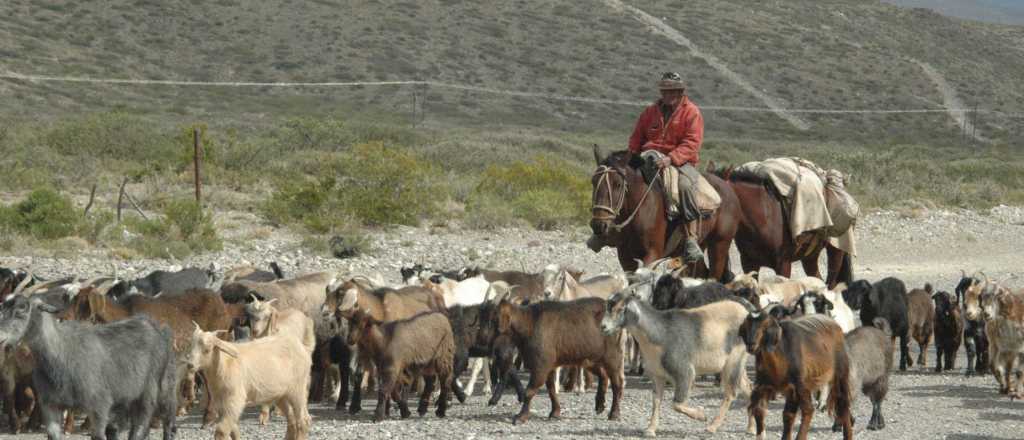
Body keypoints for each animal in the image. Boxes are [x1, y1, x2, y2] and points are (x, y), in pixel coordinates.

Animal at [0, 294, 177, 440]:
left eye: (21, 311)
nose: (1, 337)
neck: (61, 353)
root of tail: (151, 323)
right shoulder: (50, 405)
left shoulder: (99, 404)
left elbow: (98, 436)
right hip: (126, 395)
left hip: (155, 387)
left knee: (156, 421)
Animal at [593, 146, 737, 280]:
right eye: (593, 181)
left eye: (617, 184)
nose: (599, 224)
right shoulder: (625, 257)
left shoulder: (652, 255)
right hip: (702, 246)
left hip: (719, 245)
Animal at [598, 292, 753, 435]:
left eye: (620, 308)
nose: (603, 327)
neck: (661, 335)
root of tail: (745, 311)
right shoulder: (657, 375)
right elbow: (656, 401)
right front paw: (650, 429)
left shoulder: (684, 372)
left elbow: (676, 404)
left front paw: (701, 416)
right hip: (739, 361)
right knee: (748, 388)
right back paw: (751, 429)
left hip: (733, 360)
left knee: (731, 393)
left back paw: (712, 427)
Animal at [712, 166, 847, 286]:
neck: (763, 218)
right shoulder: (748, 263)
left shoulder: (784, 265)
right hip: (810, 257)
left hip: (836, 253)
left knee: (831, 283)